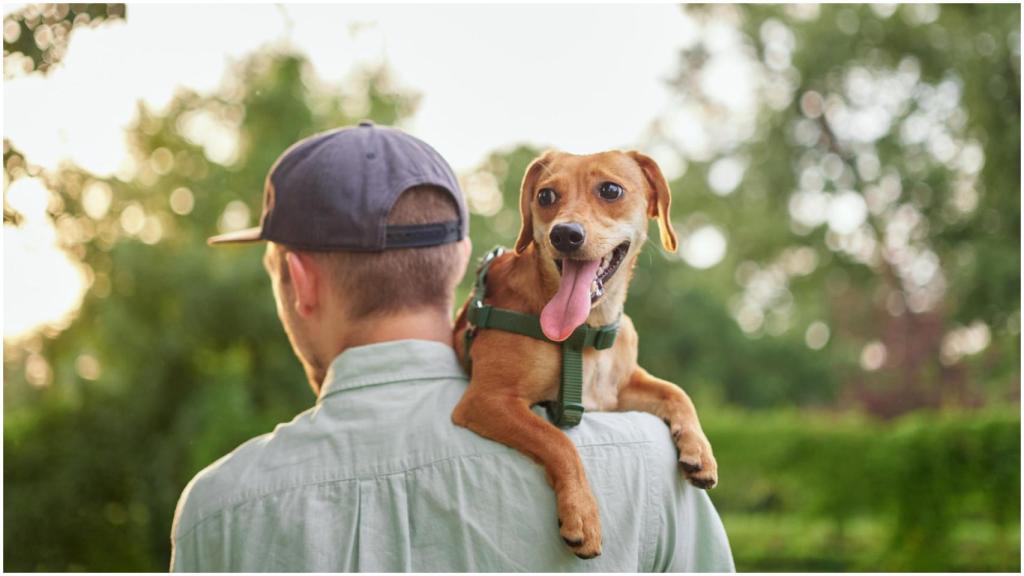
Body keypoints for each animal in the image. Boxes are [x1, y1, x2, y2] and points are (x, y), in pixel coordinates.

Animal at [452, 147, 716, 557]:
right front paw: (582, 515)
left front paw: (699, 449)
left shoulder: (616, 391)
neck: (584, 333)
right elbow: (556, 439)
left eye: (610, 190)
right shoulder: (488, 398)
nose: (564, 234)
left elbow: (676, 392)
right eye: (545, 196)